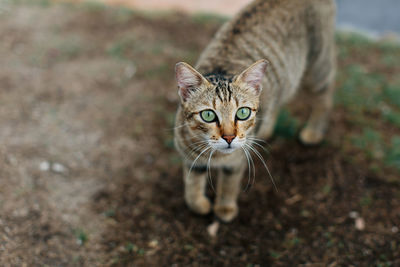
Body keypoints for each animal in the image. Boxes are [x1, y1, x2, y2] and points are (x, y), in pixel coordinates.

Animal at [173, 0, 336, 222]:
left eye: (243, 113)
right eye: (208, 115)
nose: (229, 137)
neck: (215, 156)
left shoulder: (237, 161)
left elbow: (229, 184)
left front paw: (224, 208)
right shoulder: (189, 158)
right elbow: (191, 186)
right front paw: (199, 204)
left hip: (318, 66)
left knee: (325, 96)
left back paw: (314, 131)